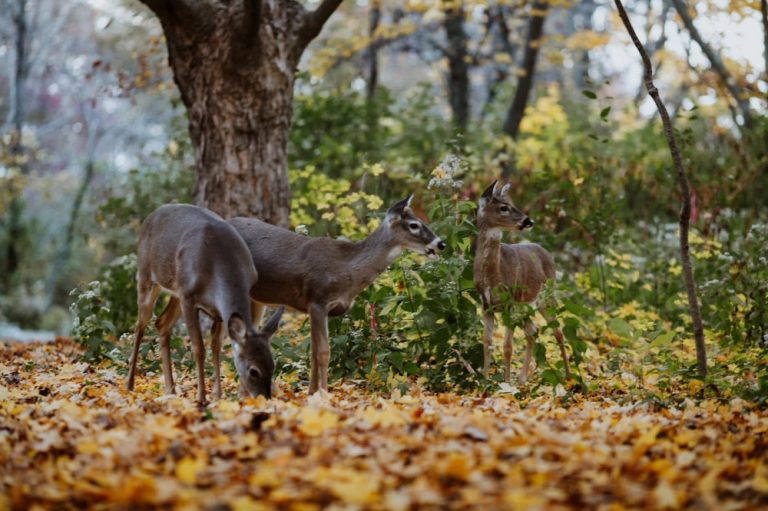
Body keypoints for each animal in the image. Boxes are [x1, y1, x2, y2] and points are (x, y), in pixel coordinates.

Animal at [125, 204, 284, 405]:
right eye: (253, 371)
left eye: (272, 366)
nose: (265, 398)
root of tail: (153, 214)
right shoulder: (188, 297)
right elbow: (199, 348)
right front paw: (201, 398)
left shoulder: (219, 311)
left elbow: (216, 346)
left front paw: (217, 395)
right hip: (147, 277)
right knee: (140, 325)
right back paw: (129, 385)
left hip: (176, 291)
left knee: (161, 323)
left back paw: (170, 390)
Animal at [228, 195, 446, 394]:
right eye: (414, 225)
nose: (441, 243)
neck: (347, 270)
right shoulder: (318, 301)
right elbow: (324, 352)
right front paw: (324, 393)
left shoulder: (318, 308)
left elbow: (314, 351)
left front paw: (311, 392)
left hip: (256, 300)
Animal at [474, 181, 571, 384]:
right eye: (504, 207)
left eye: (512, 203)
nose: (529, 221)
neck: (493, 276)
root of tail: (546, 252)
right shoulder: (486, 305)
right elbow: (487, 342)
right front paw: (485, 380)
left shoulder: (510, 301)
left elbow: (507, 346)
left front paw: (506, 382)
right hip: (524, 305)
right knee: (533, 330)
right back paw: (523, 378)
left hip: (545, 297)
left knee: (558, 331)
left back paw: (568, 376)